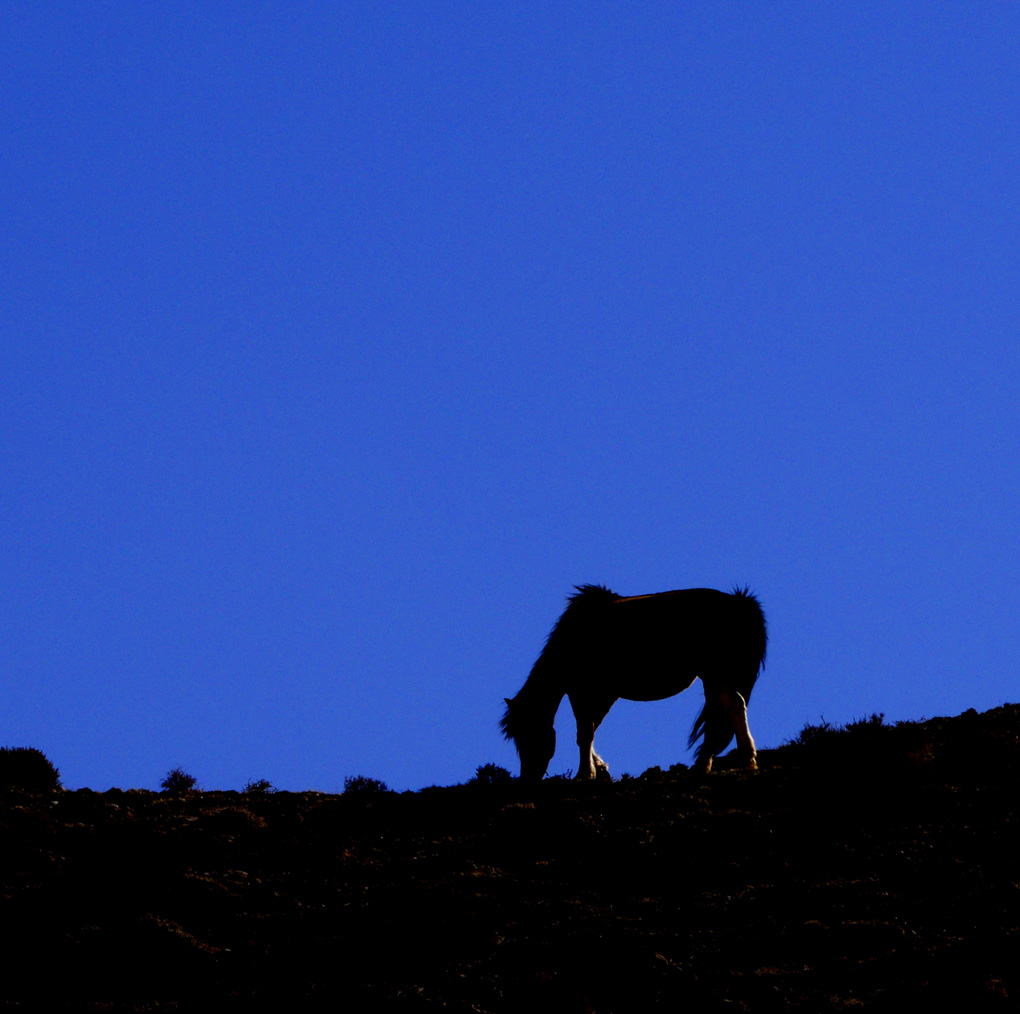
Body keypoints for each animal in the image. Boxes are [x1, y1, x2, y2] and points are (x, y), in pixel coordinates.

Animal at [501, 579, 767, 779]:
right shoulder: (603, 694)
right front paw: (599, 768)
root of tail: (739, 602)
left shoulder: (585, 692)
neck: (574, 638)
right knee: (722, 710)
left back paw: (731, 761)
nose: (528, 779)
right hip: (711, 676)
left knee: (731, 705)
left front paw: (585, 774)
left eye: (527, 731)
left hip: (714, 672)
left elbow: (584, 732)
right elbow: (591, 729)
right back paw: (725, 762)